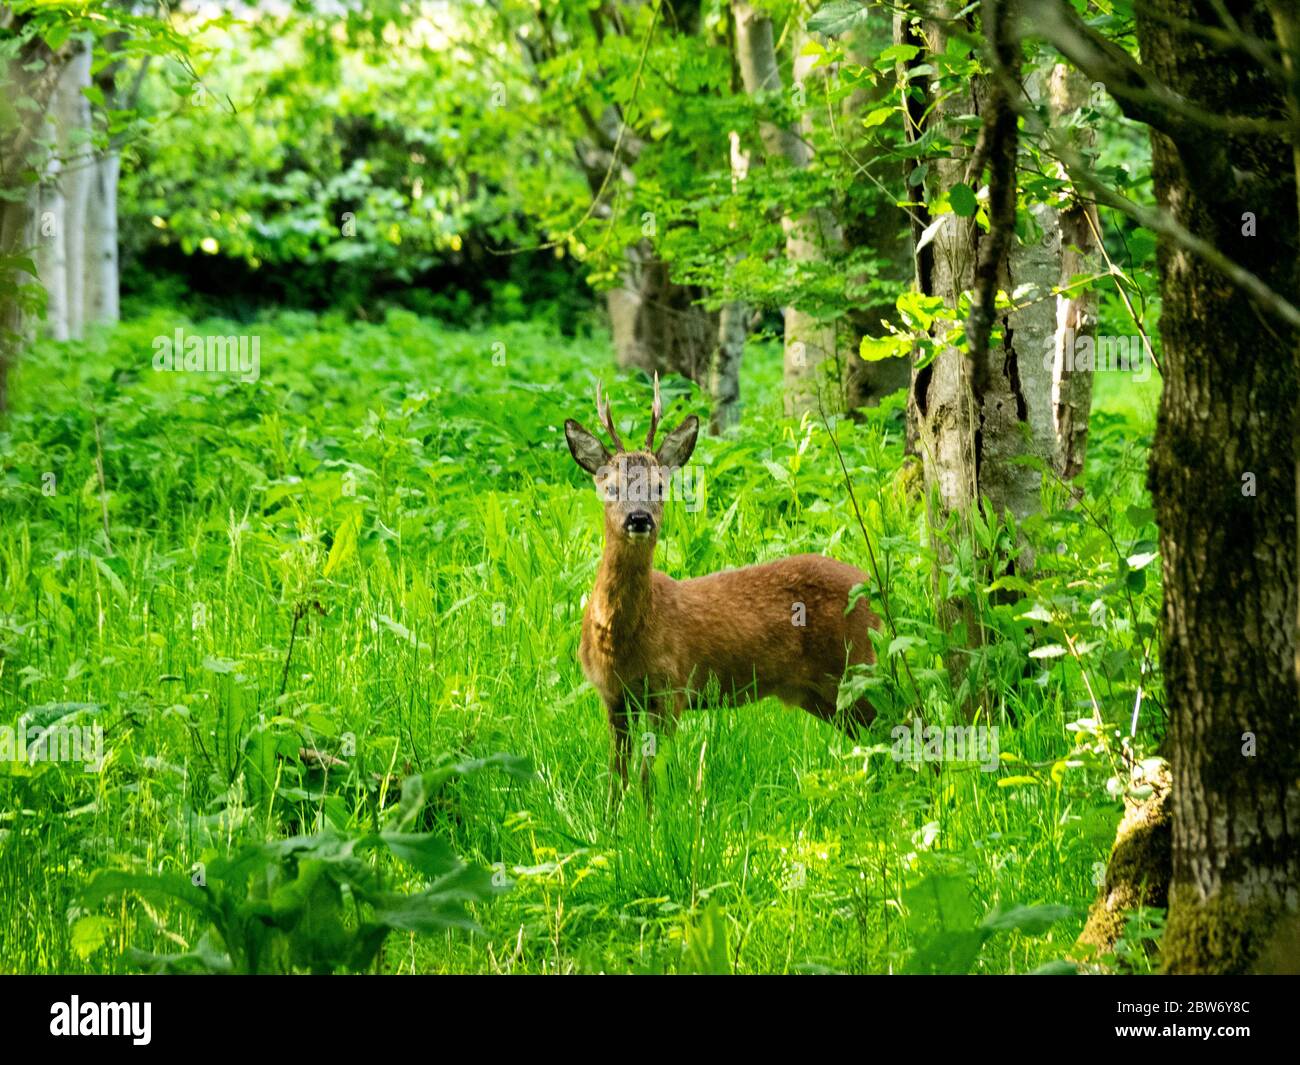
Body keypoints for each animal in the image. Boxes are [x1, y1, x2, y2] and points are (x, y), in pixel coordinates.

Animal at [561, 379, 883, 795]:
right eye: (610, 487)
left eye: (661, 486)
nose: (639, 518)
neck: (620, 638)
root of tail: (871, 587)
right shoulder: (612, 696)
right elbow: (617, 778)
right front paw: (613, 814)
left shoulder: (672, 687)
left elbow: (650, 776)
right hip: (825, 694)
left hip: (858, 664)